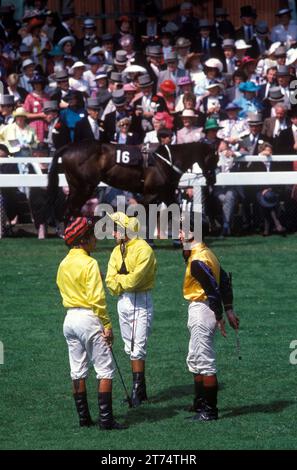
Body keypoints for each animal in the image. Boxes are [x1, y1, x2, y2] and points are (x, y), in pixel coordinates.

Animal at [46, 141, 217, 217]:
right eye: (214, 158)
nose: (212, 180)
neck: (166, 160)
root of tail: (69, 147)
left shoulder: (165, 193)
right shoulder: (152, 193)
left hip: (76, 186)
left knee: (69, 208)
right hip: (85, 187)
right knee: (72, 208)